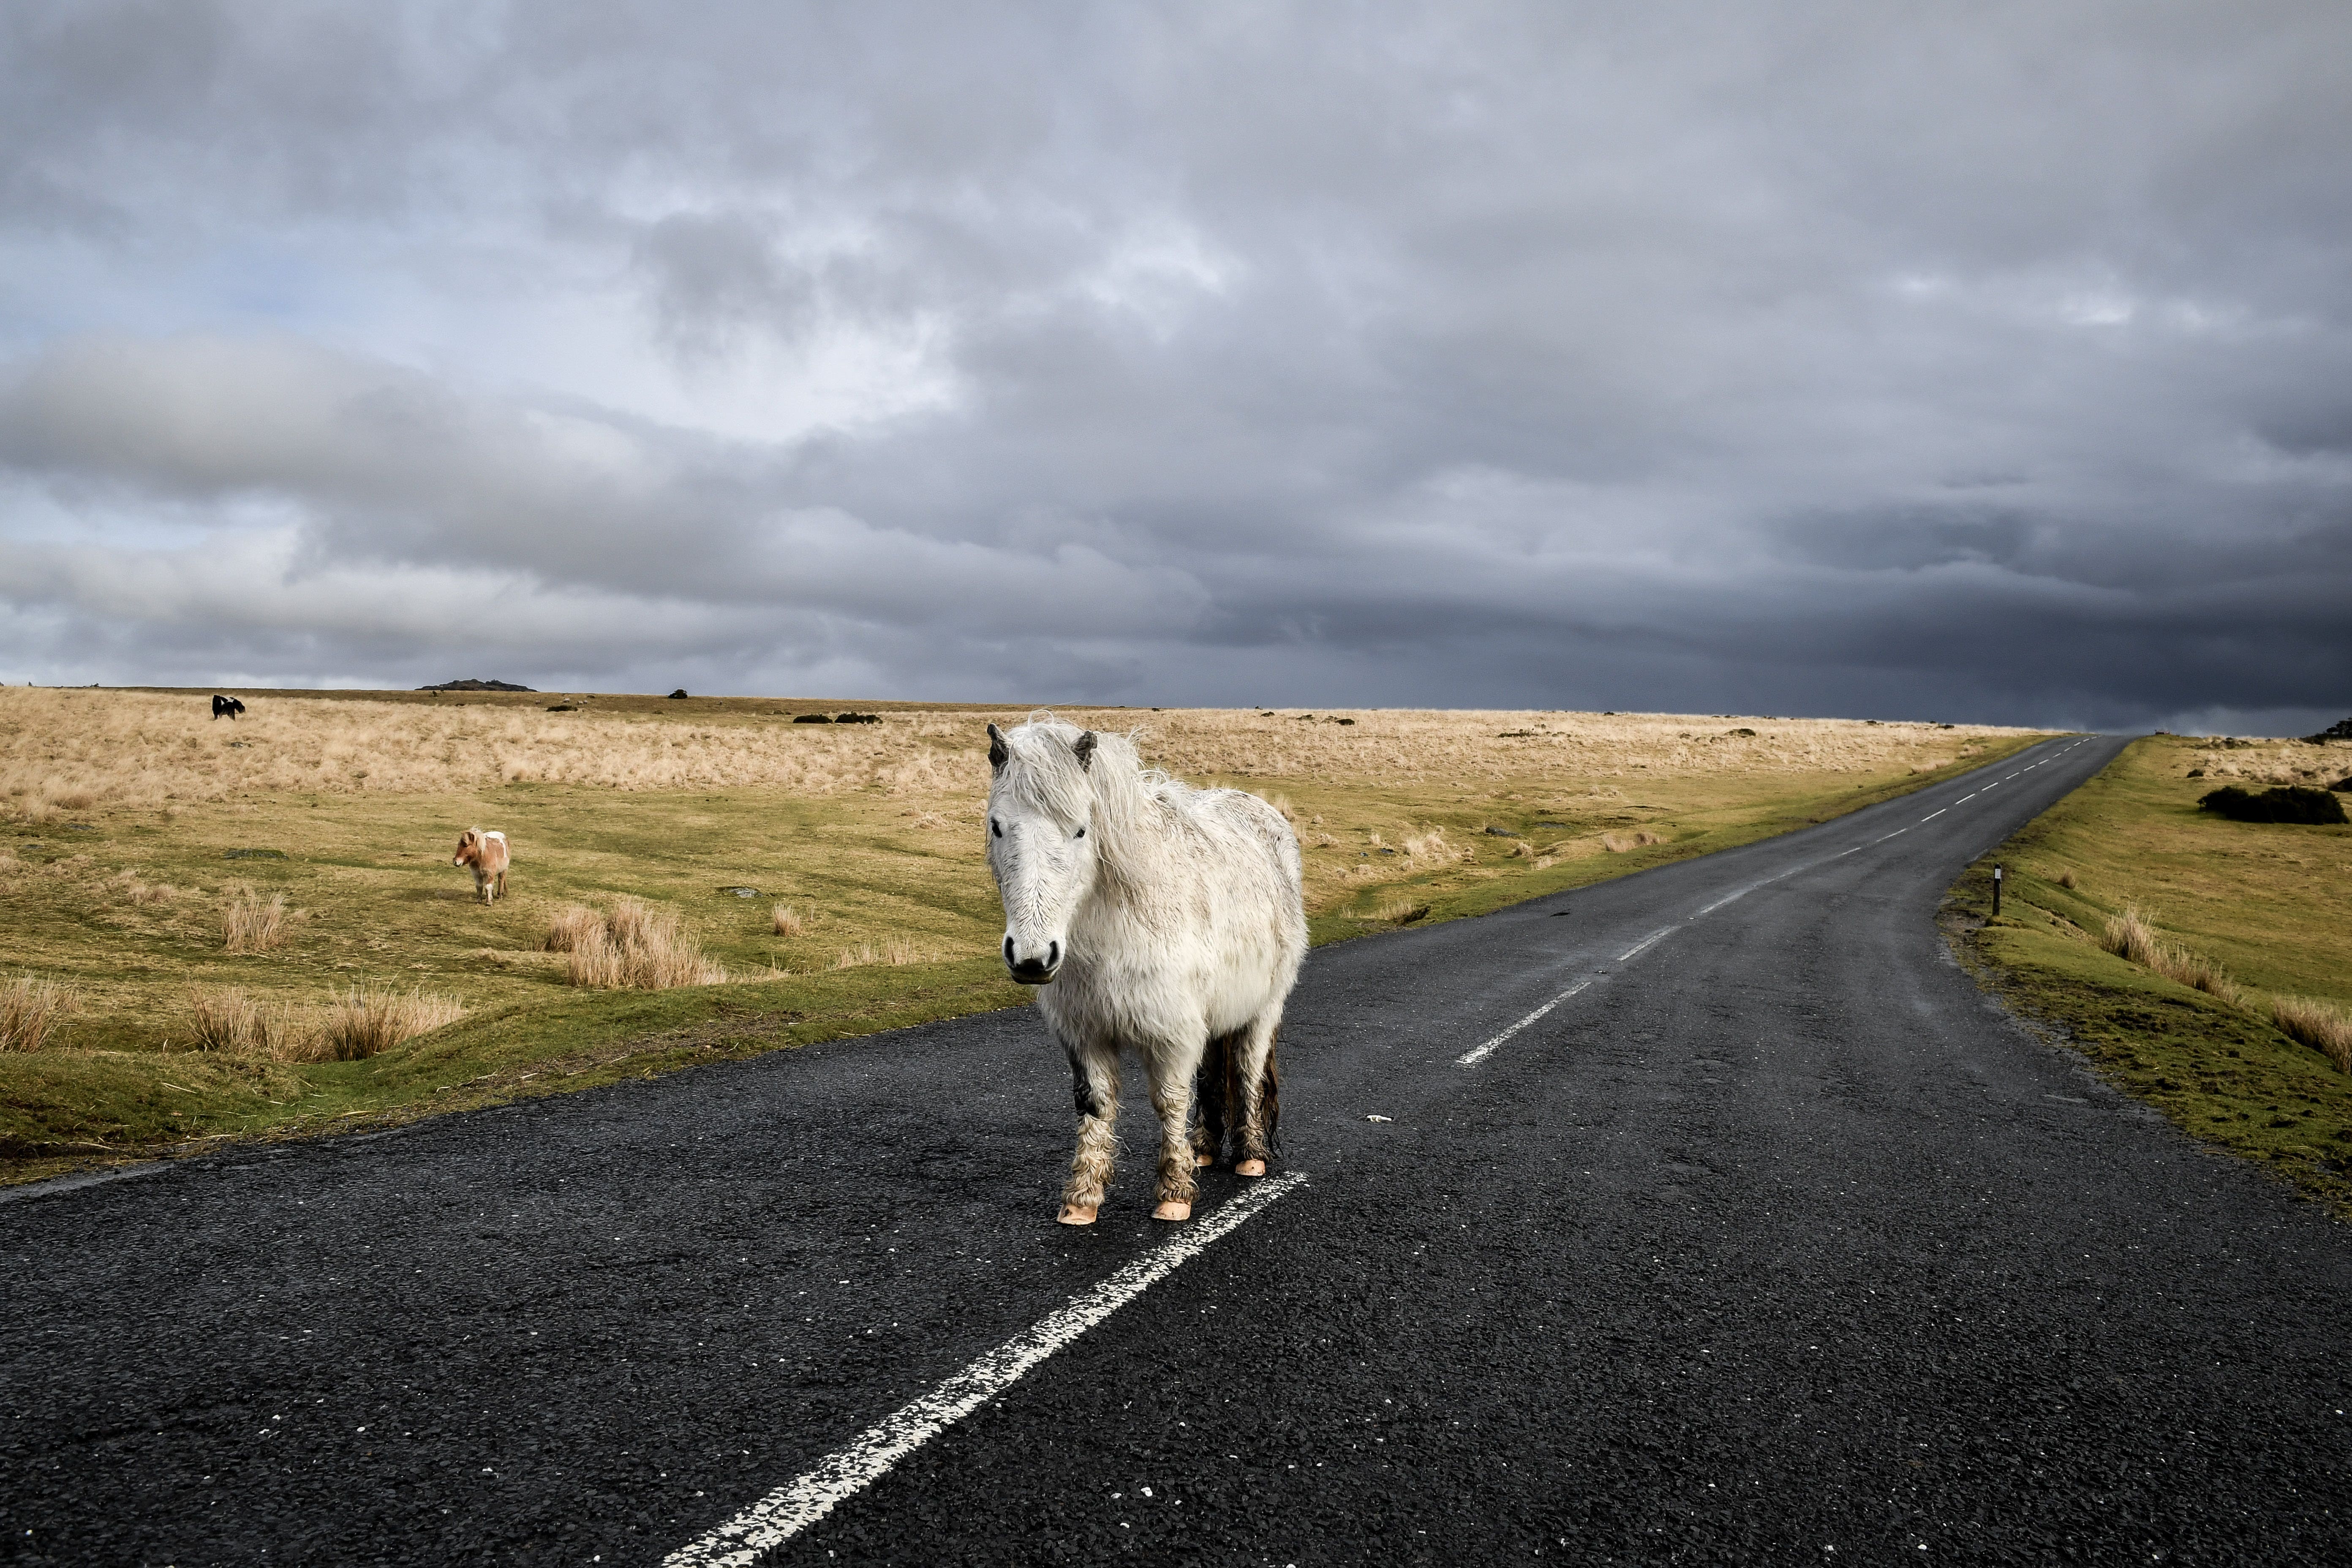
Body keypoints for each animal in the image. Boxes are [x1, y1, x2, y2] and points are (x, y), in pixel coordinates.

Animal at [988, 714, 1317, 1222]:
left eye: (1081, 831)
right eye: (998, 827)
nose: (1031, 957)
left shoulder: (1171, 1033)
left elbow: (1170, 1102)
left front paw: (1174, 1193)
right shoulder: (1085, 1033)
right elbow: (1095, 1103)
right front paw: (1082, 1198)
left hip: (1263, 1009)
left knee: (1246, 1072)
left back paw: (1250, 1155)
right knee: (1214, 1072)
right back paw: (1204, 1148)